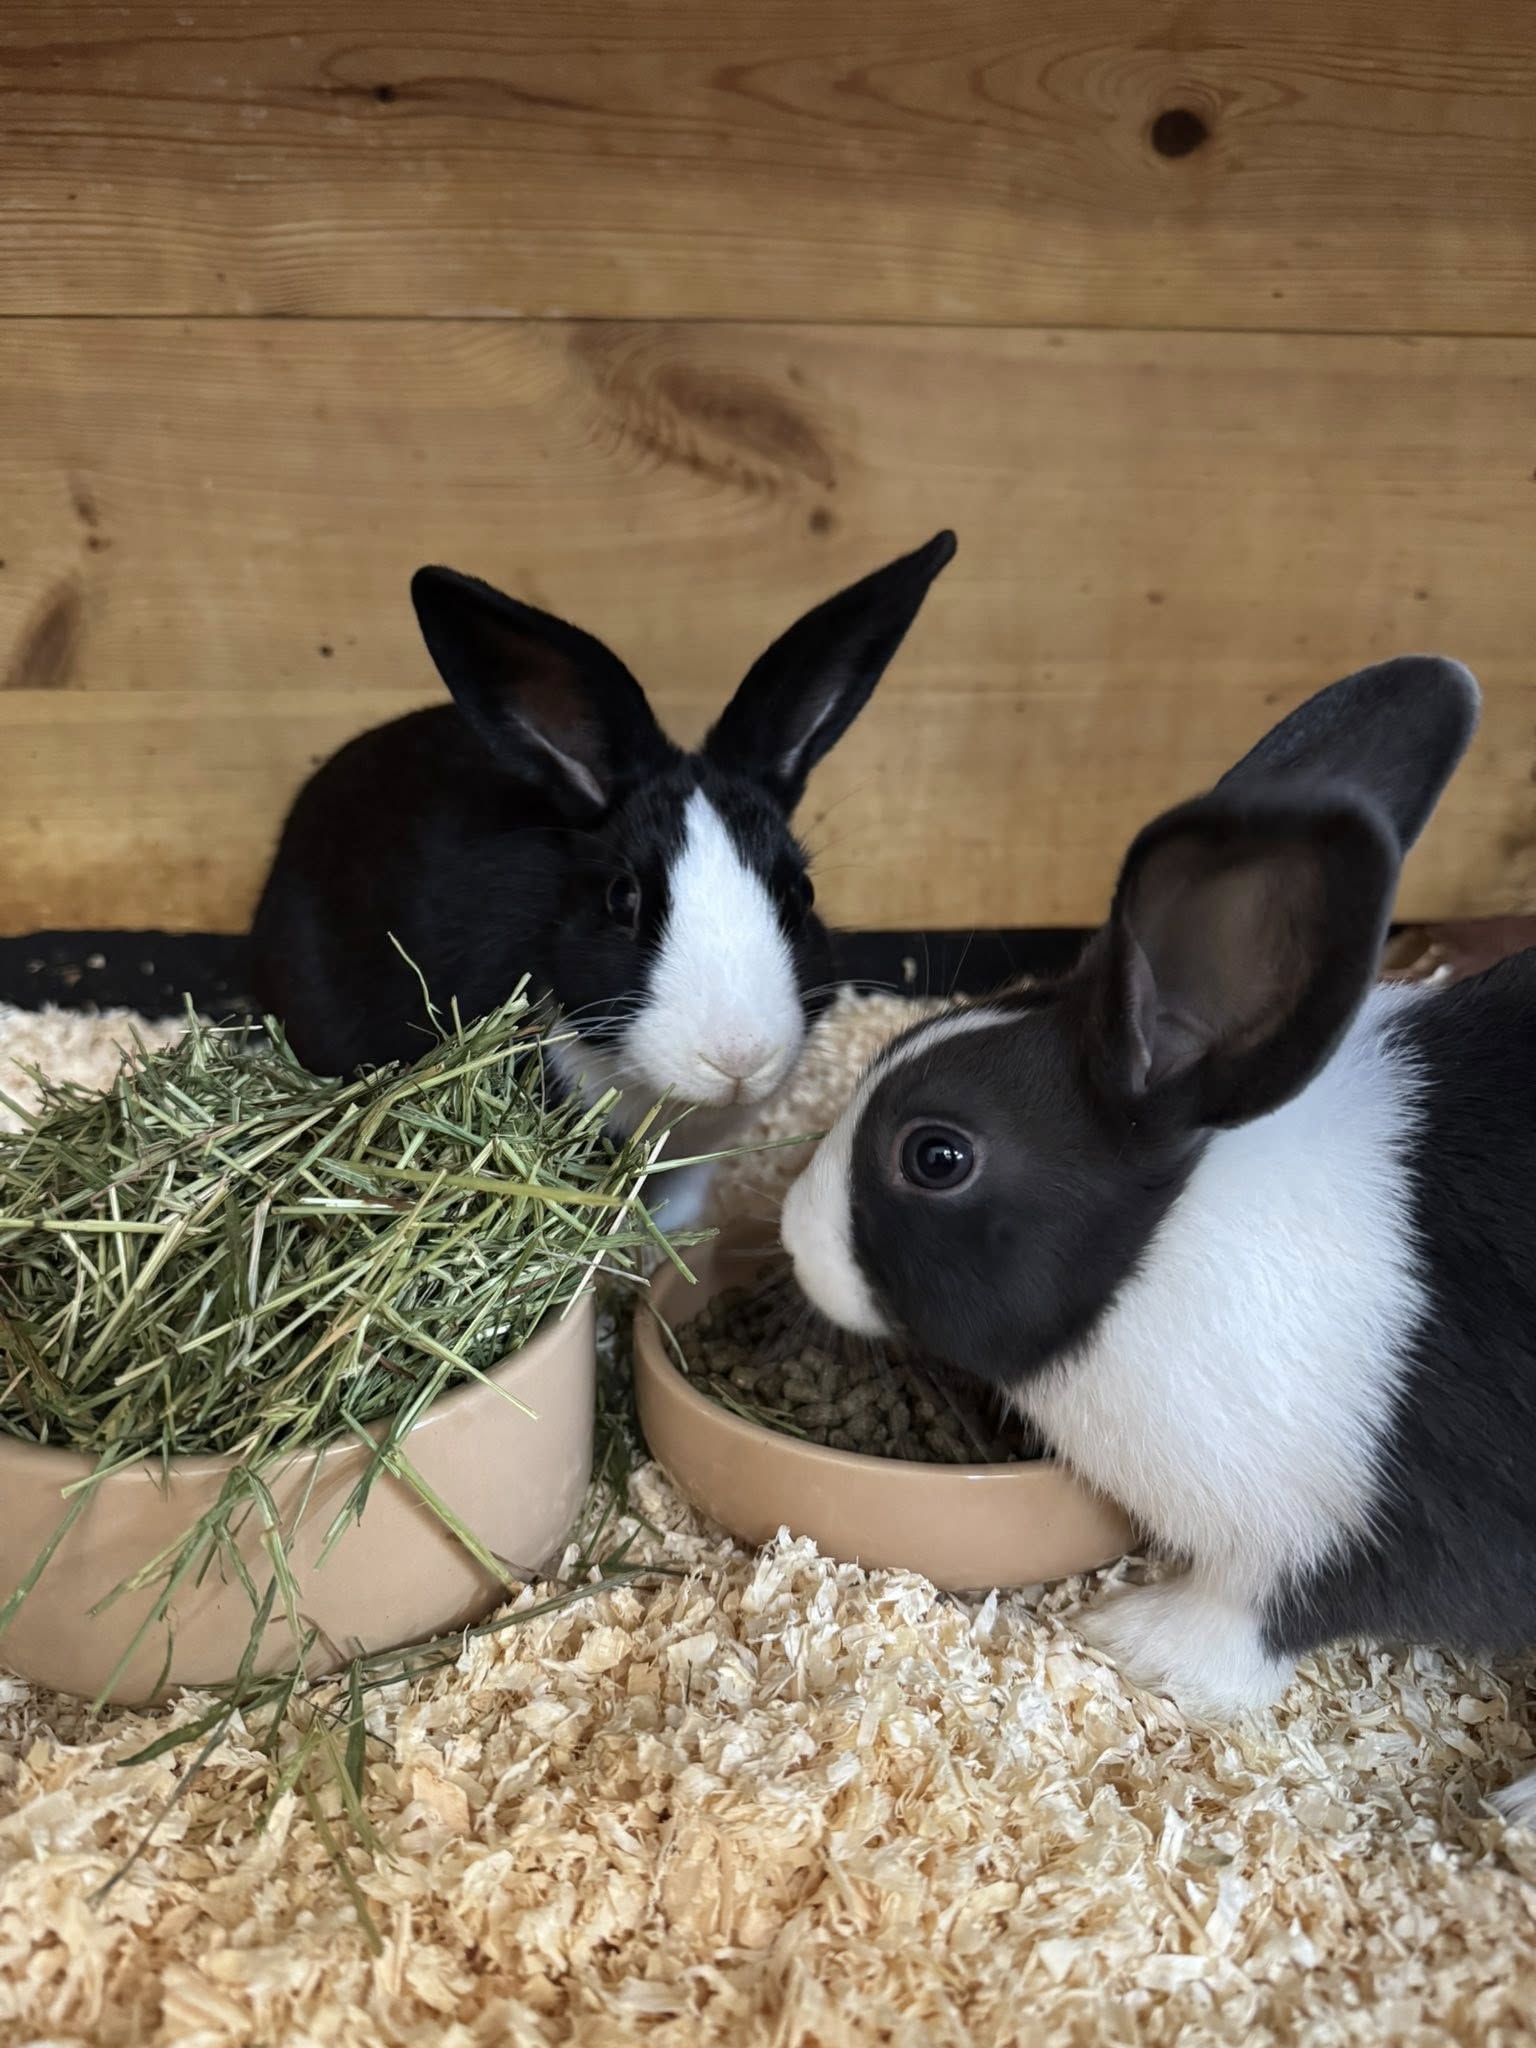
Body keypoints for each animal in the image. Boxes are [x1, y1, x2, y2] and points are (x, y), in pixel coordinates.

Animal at [782, 652, 1536, 1826]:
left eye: (937, 1155)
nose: (788, 1232)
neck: (1160, 1244)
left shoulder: (1335, 1537)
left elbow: (1254, 1624)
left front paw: (1127, 1636)